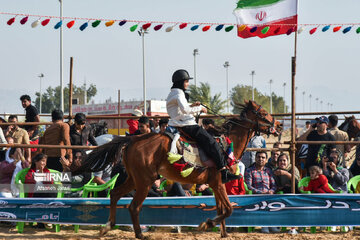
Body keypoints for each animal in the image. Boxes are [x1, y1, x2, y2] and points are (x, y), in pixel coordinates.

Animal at [77, 99, 282, 238]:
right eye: (264, 113)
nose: (279, 126)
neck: (225, 144)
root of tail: (133, 140)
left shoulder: (216, 185)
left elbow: (221, 209)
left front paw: (222, 232)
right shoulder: (217, 183)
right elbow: (228, 209)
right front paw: (206, 224)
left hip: (134, 178)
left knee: (115, 194)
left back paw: (107, 226)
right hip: (144, 181)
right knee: (133, 206)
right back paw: (139, 234)